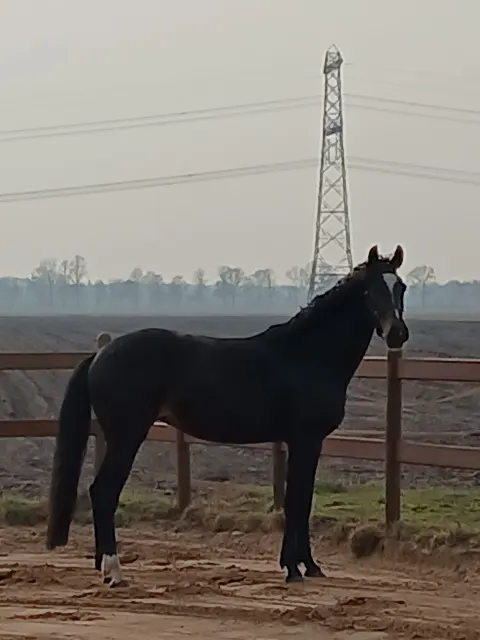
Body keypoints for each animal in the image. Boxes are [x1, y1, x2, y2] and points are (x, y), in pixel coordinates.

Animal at [46, 245, 409, 586]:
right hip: (126, 437)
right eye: (373, 289)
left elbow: (302, 500)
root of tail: (101, 354)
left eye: (401, 287)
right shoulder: (305, 439)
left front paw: (308, 565)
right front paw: (294, 568)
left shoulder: (305, 442)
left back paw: (103, 566)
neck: (307, 356)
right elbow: (297, 500)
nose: (397, 334)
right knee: (104, 492)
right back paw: (114, 571)